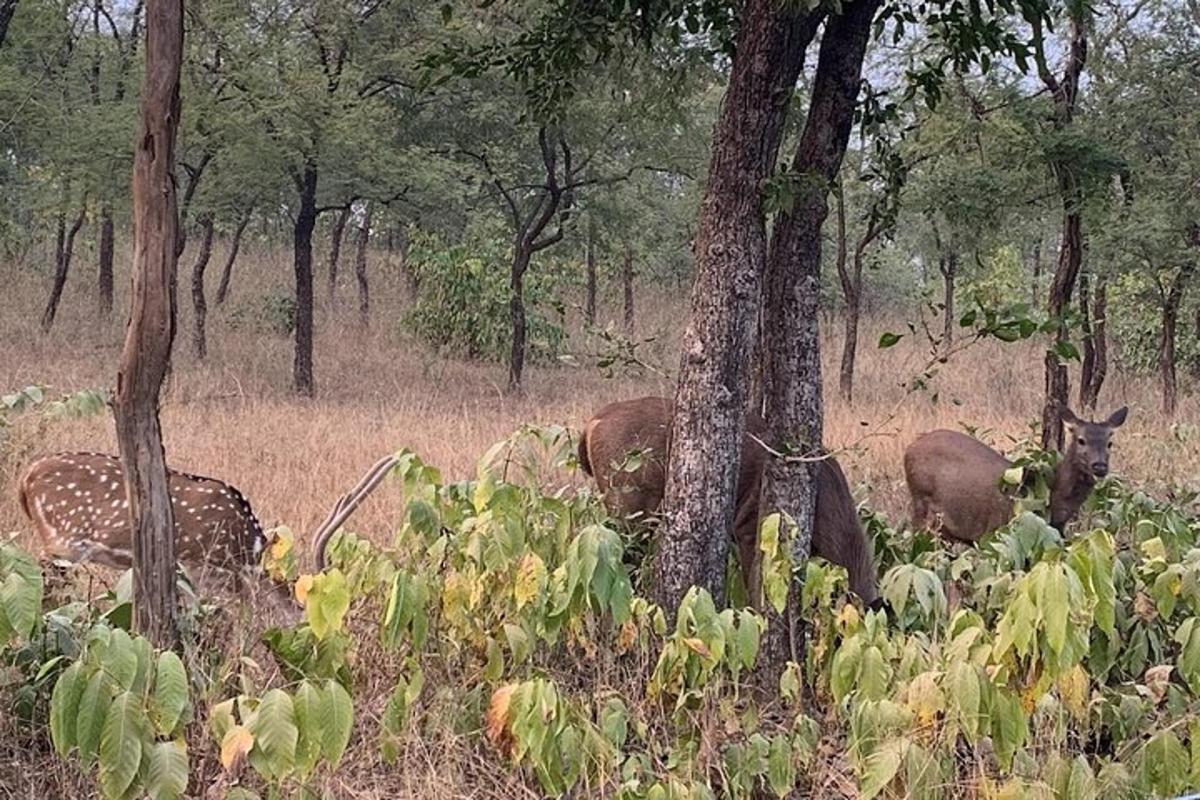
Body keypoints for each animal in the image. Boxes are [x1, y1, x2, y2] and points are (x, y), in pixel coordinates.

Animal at [902, 407, 1128, 544]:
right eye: (1081, 440)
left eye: (1110, 443)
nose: (1099, 466)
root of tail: (909, 448)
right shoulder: (998, 532)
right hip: (920, 503)